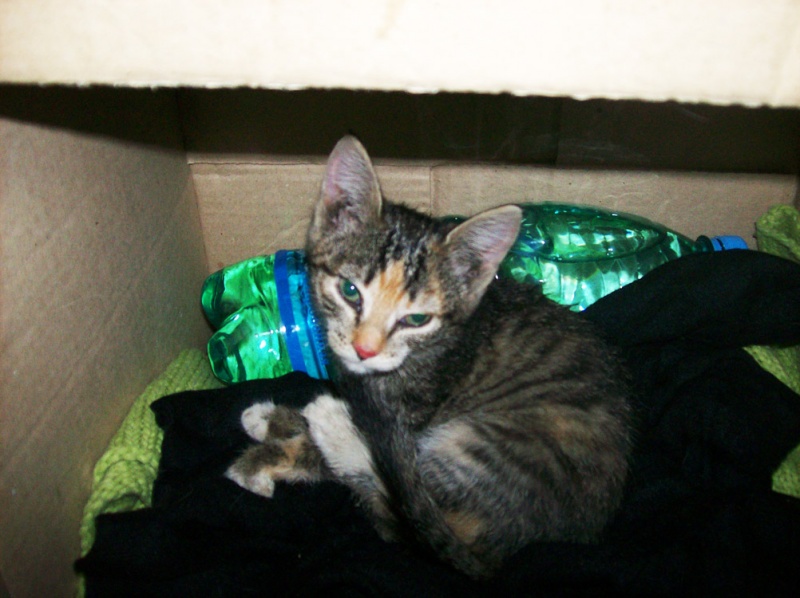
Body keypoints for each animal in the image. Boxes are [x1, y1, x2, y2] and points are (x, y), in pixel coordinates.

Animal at [226, 135, 633, 579]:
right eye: (350, 291)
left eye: (417, 319)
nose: (364, 349)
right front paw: (272, 418)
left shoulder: (410, 413)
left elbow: (363, 456)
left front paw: (265, 457)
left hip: (479, 448)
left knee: (401, 513)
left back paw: (331, 426)